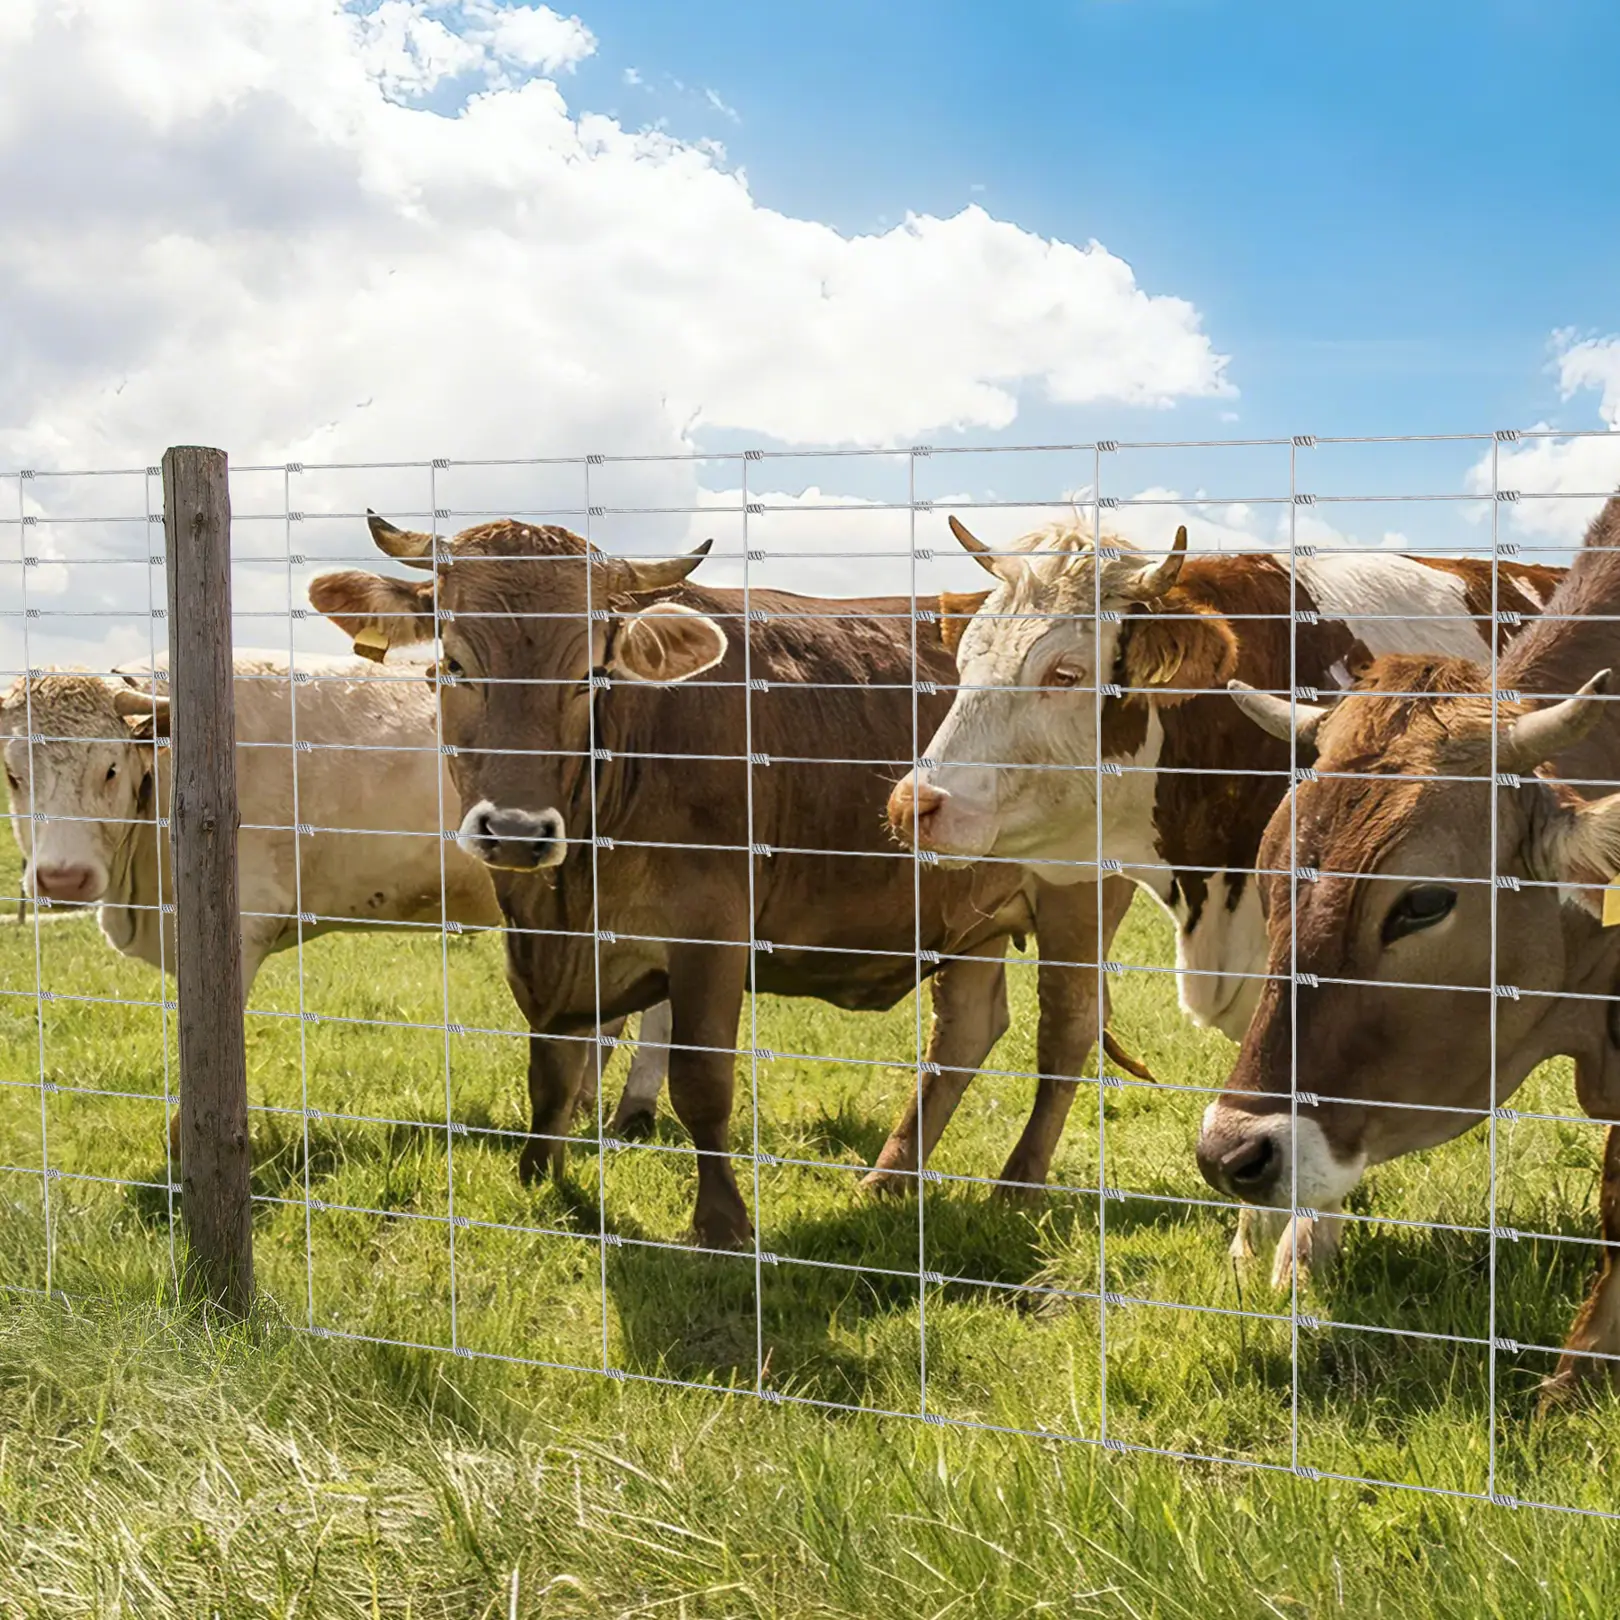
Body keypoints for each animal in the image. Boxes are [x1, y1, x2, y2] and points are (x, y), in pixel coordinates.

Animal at [0, 655, 671, 1150]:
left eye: (110, 769)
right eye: (12, 774)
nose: (62, 879)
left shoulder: (237, 925)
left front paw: (189, 1143)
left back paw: (630, 1109)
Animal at [308, 515, 1143, 1250]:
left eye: (590, 674)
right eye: (452, 665)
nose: (514, 830)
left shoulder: (711, 931)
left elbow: (700, 1080)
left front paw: (721, 1223)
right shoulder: (543, 944)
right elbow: (552, 1069)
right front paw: (539, 1175)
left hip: (1080, 898)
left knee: (1064, 1033)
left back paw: (1017, 1185)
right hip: (968, 911)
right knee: (966, 1031)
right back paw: (888, 1180)